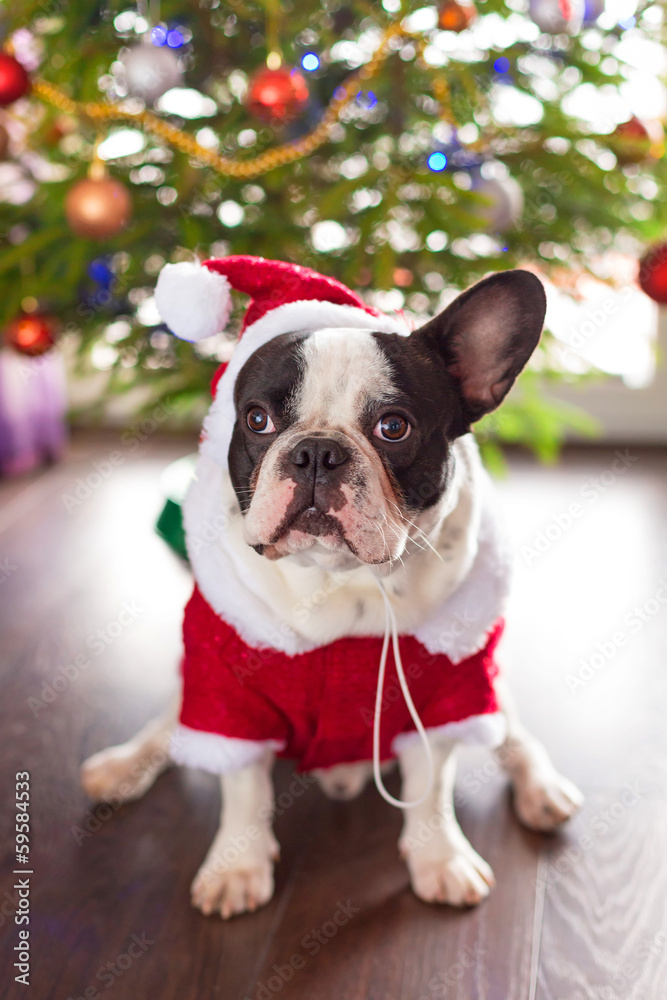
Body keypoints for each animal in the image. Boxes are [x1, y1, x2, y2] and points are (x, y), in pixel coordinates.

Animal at [82, 260, 584, 920]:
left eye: (394, 427)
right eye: (257, 420)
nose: (317, 451)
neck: (342, 582)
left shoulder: (445, 693)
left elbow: (431, 788)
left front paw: (440, 859)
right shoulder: (230, 691)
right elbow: (242, 787)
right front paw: (236, 865)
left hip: (486, 689)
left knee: (513, 735)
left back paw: (542, 788)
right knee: (172, 723)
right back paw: (123, 765)